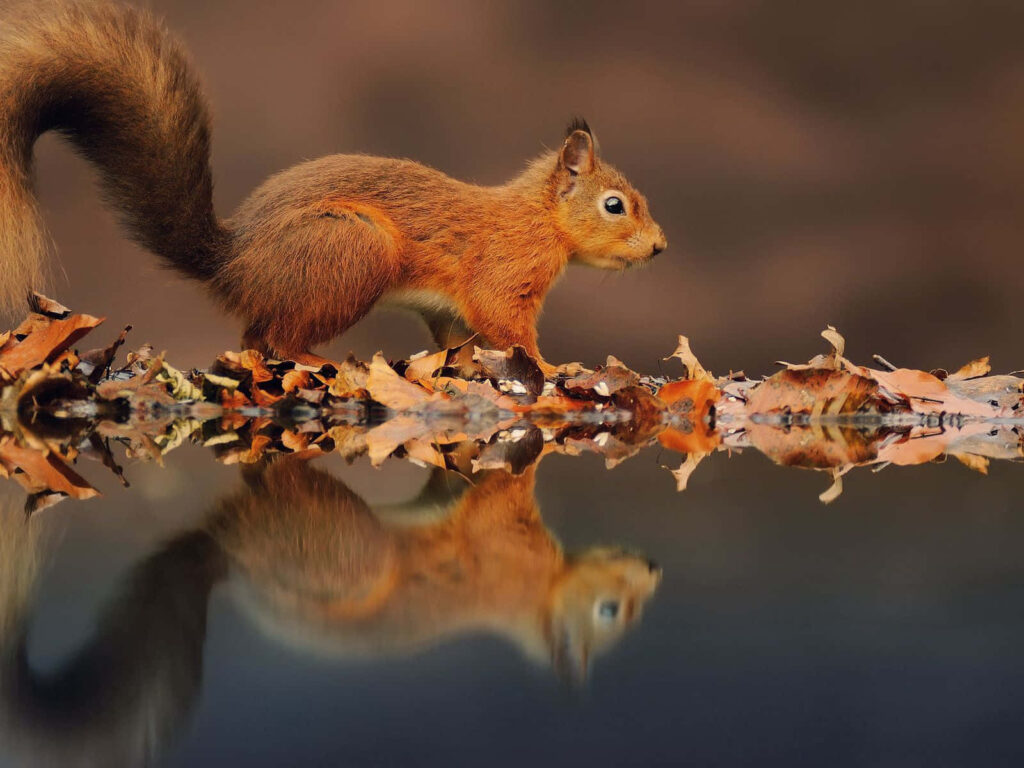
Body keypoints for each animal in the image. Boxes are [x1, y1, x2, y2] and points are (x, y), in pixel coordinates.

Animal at [0, 2, 667, 373]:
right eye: (615, 205)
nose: (660, 247)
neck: (537, 219)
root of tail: (235, 264)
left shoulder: (450, 310)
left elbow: (462, 339)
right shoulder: (503, 274)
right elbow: (510, 327)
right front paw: (553, 366)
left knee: (255, 338)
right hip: (352, 252)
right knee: (275, 339)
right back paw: (315, 359)